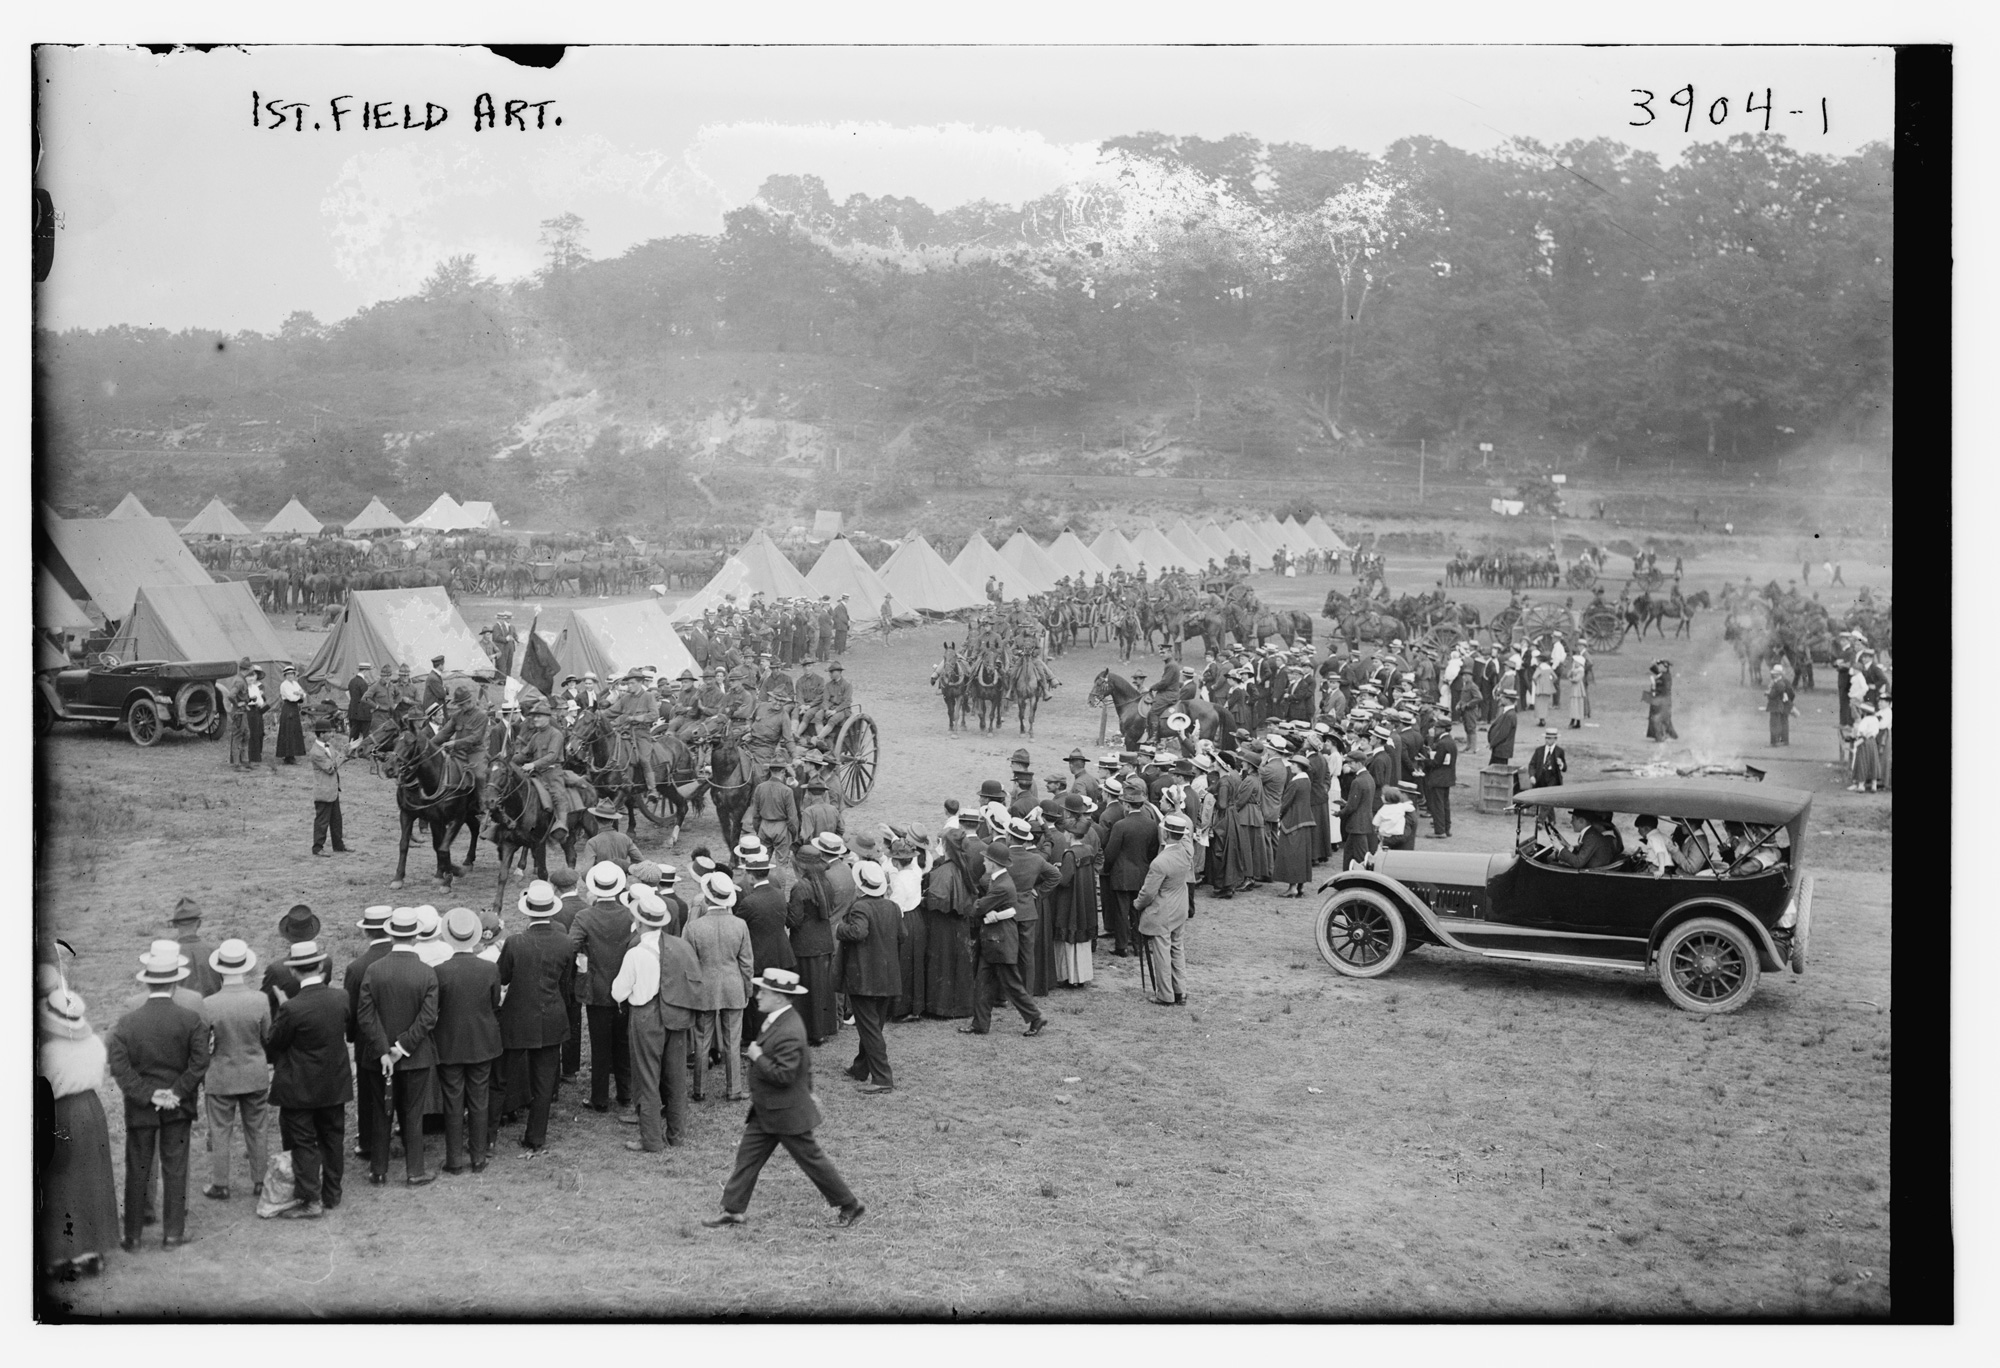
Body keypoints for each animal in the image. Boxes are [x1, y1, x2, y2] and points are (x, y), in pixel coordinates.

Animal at [378, 720, 484, 892]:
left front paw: (448, 875)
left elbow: (443, 848)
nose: (389, 768)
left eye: (410, 742)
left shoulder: (455, 818)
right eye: (394, 742)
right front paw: (398, 878)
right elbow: (407, 844)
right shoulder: (413, 815)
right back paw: (468, 861)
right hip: (468, 814)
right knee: (475, 827)